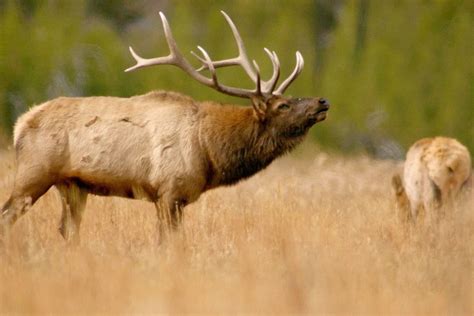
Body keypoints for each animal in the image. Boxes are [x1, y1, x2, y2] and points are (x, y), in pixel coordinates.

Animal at [0, 9, 330, 242]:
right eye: (283, 105)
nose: (322, 102)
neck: (209, 150)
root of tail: (20, 123)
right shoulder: (168, 192)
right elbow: (169, 243)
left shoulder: (175, 199)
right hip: (34, 173)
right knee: (7, 217)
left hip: (72, 185)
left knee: (67, 229)